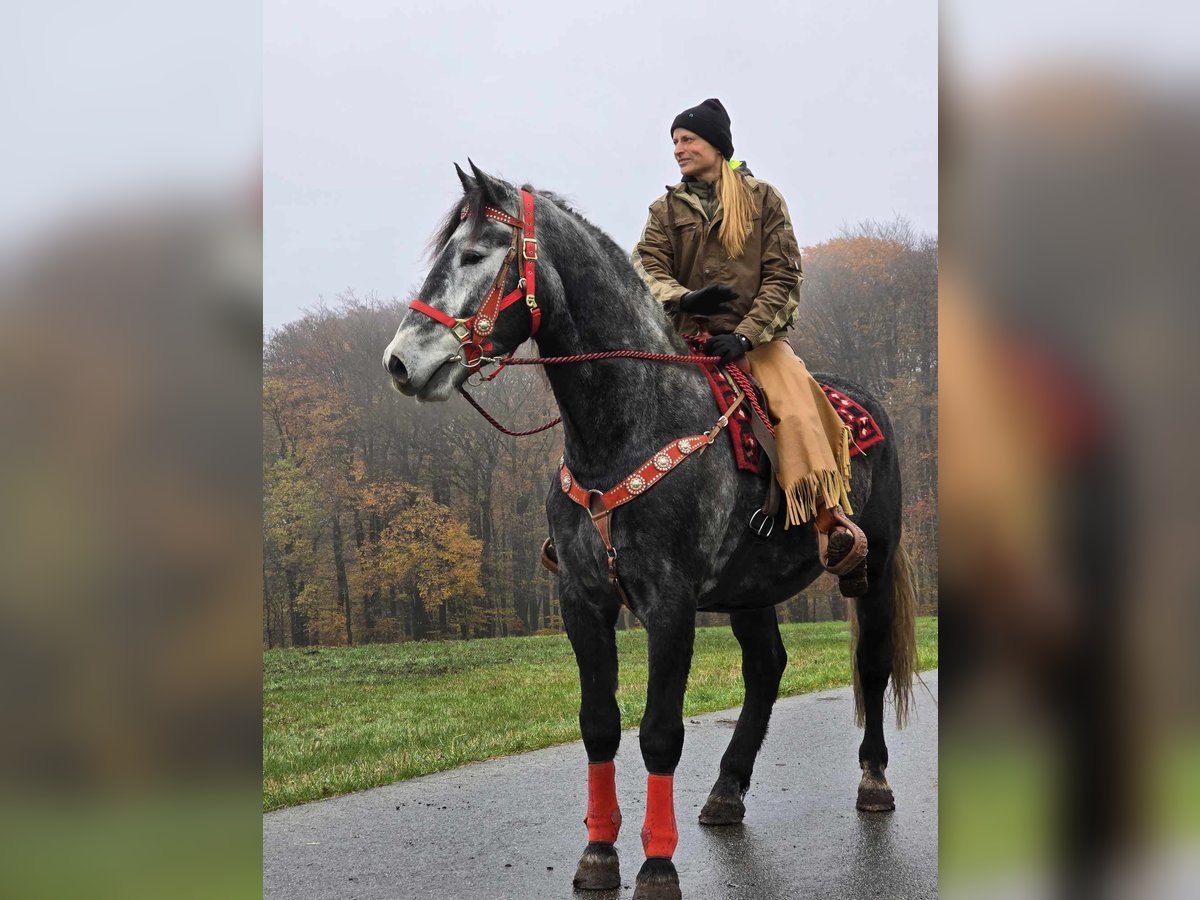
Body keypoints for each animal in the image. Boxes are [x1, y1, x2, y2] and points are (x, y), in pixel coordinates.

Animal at [384, 164, 916, 900]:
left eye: (475, 253)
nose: (402, 361)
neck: (630, 426)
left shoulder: (670, 603)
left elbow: (660, 732)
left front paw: (657, 865)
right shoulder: (583, 601)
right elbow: (599, 726)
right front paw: (598, 854)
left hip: (875, 563)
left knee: (870, 662)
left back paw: (874, 780)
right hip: (751, 589)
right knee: (766, 669)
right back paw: (726, 791)